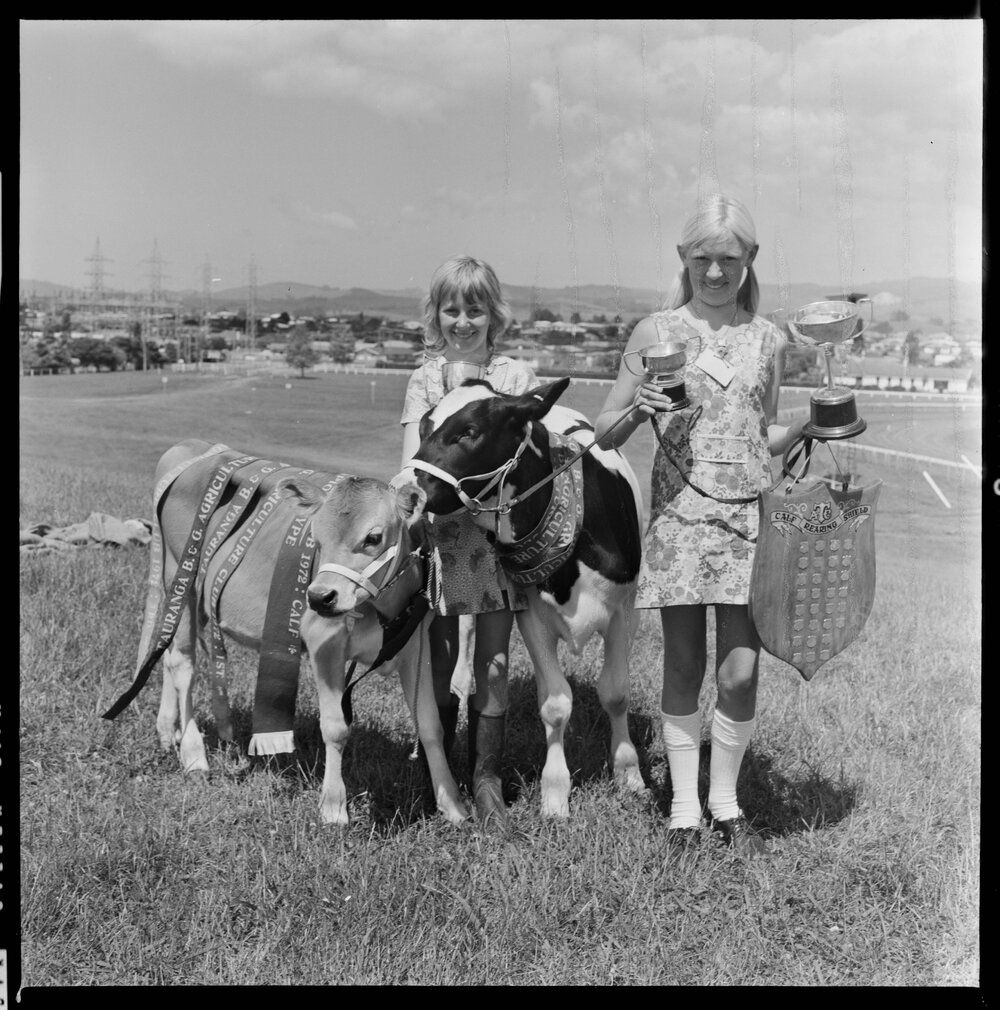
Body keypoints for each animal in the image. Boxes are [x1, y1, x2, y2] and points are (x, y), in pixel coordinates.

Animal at [107, 438, 467, 828]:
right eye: (316, 538)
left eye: (373, 537)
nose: (320, 596)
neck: (379, 607)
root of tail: (193, 447)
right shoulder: (324, 641)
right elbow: (335, 728)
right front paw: (333, 807)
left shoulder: (415, 645)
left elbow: (430, 725)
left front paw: (453, 805)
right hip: (180, 576)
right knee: (182, 663)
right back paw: (193, 754)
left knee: (167, 652)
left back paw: (168, 731)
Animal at [401, 377, 647, 818]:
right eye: (425, 425)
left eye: (469, 431)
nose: (407, 492)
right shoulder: (532, 616)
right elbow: (555, 704)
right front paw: (555, 793)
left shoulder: (624, 612)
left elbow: (616, 693)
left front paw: (628, 772)